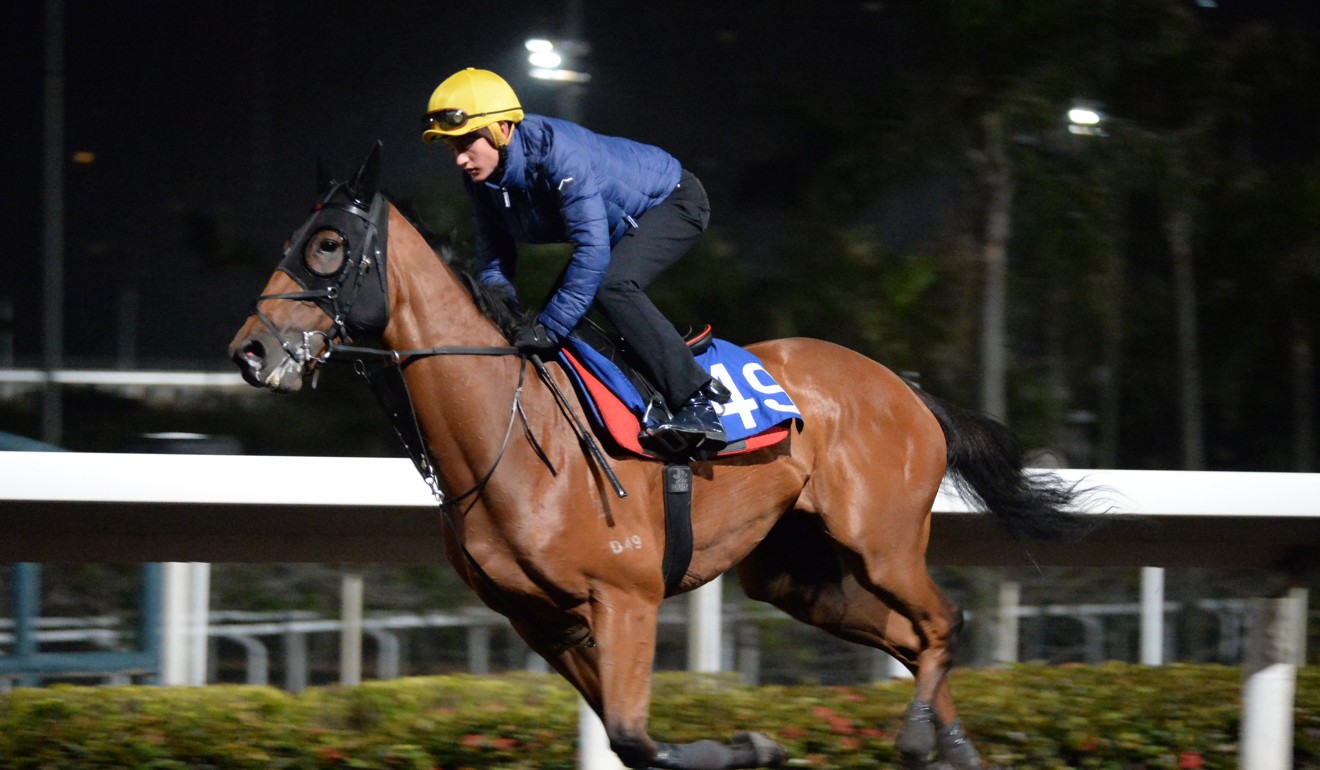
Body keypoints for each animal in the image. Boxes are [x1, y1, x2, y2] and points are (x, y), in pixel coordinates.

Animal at [229, 145, 1092, 770]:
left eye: (329, 245)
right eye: (290, 241)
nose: (250, 351)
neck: (511, 436)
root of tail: (909, 391)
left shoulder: (626, 599)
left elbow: (638, 740)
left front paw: (753, 743)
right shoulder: (544, 622)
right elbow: (626, 742)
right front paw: (752, 744)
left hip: (881, 543)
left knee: (945, 621)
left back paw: (921, 739)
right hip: (795, 574)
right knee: (916, 639)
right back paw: (954, 749)